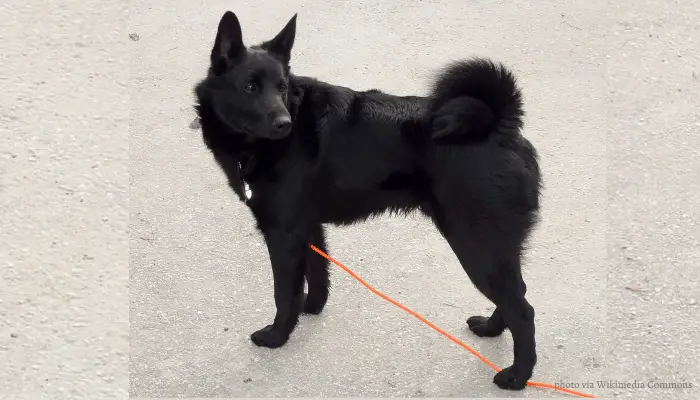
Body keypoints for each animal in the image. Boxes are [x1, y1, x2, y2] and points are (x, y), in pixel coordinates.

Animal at [194, 11, 544, 390]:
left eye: (282, 88)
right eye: (250, 87)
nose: (284, 124)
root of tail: (500, 128)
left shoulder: (284, 233)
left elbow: (284, 292)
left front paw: (278, 335)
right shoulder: (307, 227)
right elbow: (317, 274)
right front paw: (311, 309)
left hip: (476, 245)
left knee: (523, 309)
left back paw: (517, 375)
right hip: (495, 247)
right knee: (517, 293)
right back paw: (492, 329)